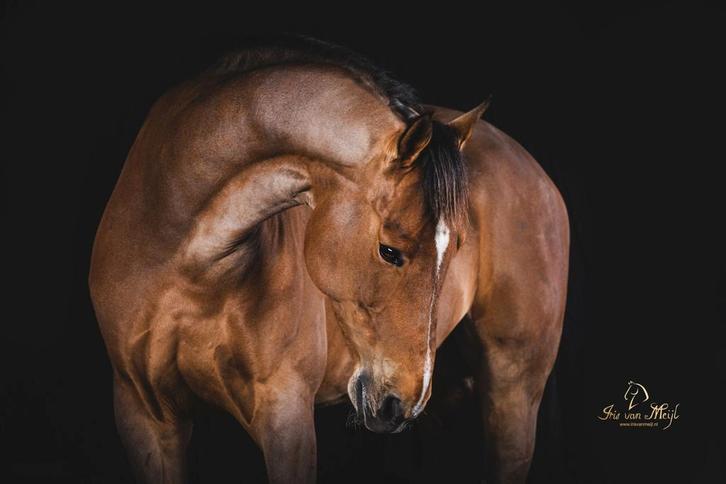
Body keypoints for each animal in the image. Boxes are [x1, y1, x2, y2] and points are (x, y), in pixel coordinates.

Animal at [89, 37, 569, 484]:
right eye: (389, 250)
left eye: (456, 248)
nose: (403, 402)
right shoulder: (145, 417)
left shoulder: (286, 413)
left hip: (513, 390)